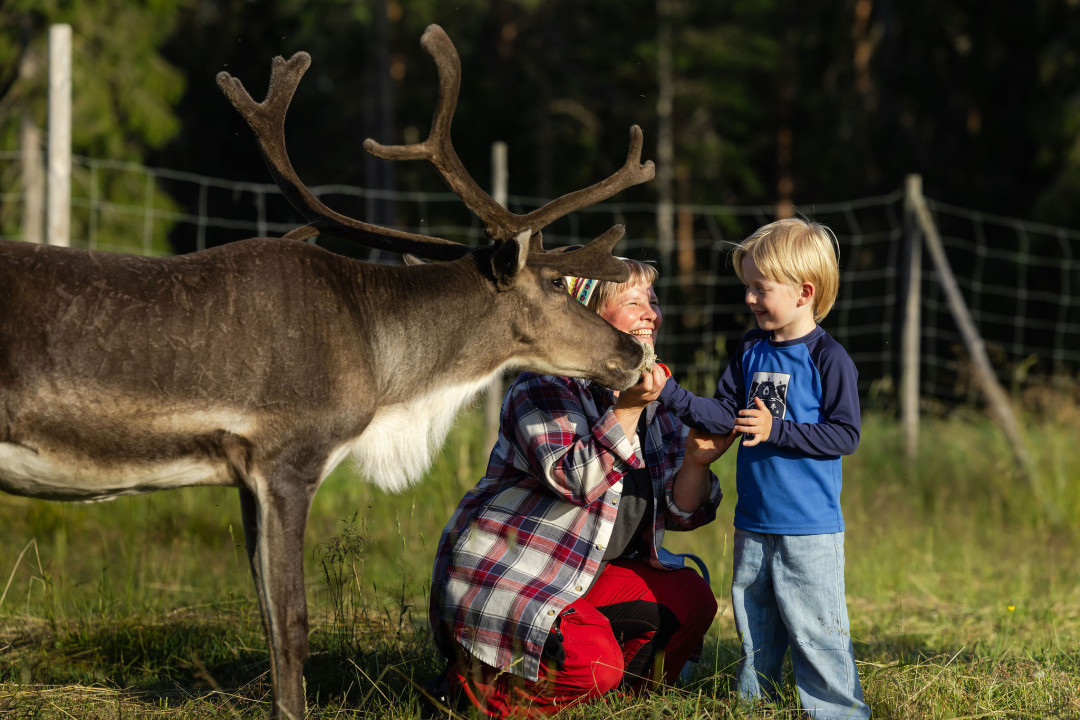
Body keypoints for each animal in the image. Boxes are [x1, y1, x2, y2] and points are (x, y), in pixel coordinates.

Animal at [0, 24, 655, 720]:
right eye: (557, 282)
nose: (631, 352)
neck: (387, 373)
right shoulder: (288, 460)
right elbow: (292, 626)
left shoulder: (244, 478)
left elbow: (266, 618)